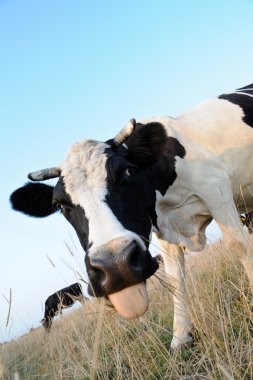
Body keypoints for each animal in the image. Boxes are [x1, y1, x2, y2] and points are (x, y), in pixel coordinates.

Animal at [10, 83, 253, 350]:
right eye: (60, 204)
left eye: (128, 171)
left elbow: (240, 245)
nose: (116, 265)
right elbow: (175, 275)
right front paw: (180, 337)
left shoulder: (215, 187)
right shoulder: (162, 225)